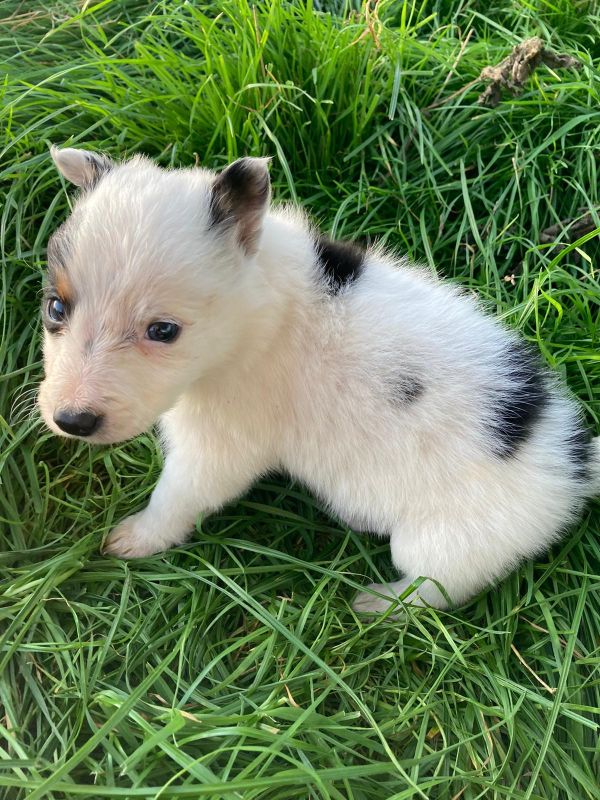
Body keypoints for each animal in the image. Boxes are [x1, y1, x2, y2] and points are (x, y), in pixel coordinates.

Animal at [38, 147, 600, 612]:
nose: (72, 420)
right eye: (55, 308)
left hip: (447, 540)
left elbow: (176, 497)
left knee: (436, 587)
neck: (257, 314)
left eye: (163, 331)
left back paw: (379, 604)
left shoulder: (218, 447)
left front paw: (136, 537)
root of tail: (571, 459)